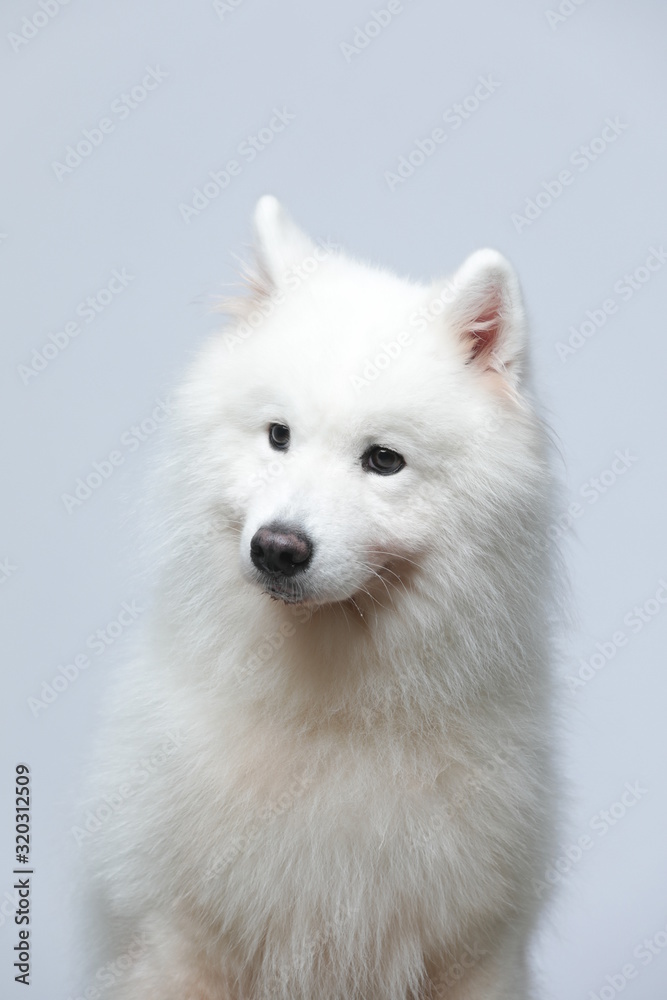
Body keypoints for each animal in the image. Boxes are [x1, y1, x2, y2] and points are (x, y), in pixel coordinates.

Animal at [86, 197, 560, 1000]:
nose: (277, 548)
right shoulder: (180, 938)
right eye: (278, 435)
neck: (333, 713)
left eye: (383, 460)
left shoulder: (471, 949)